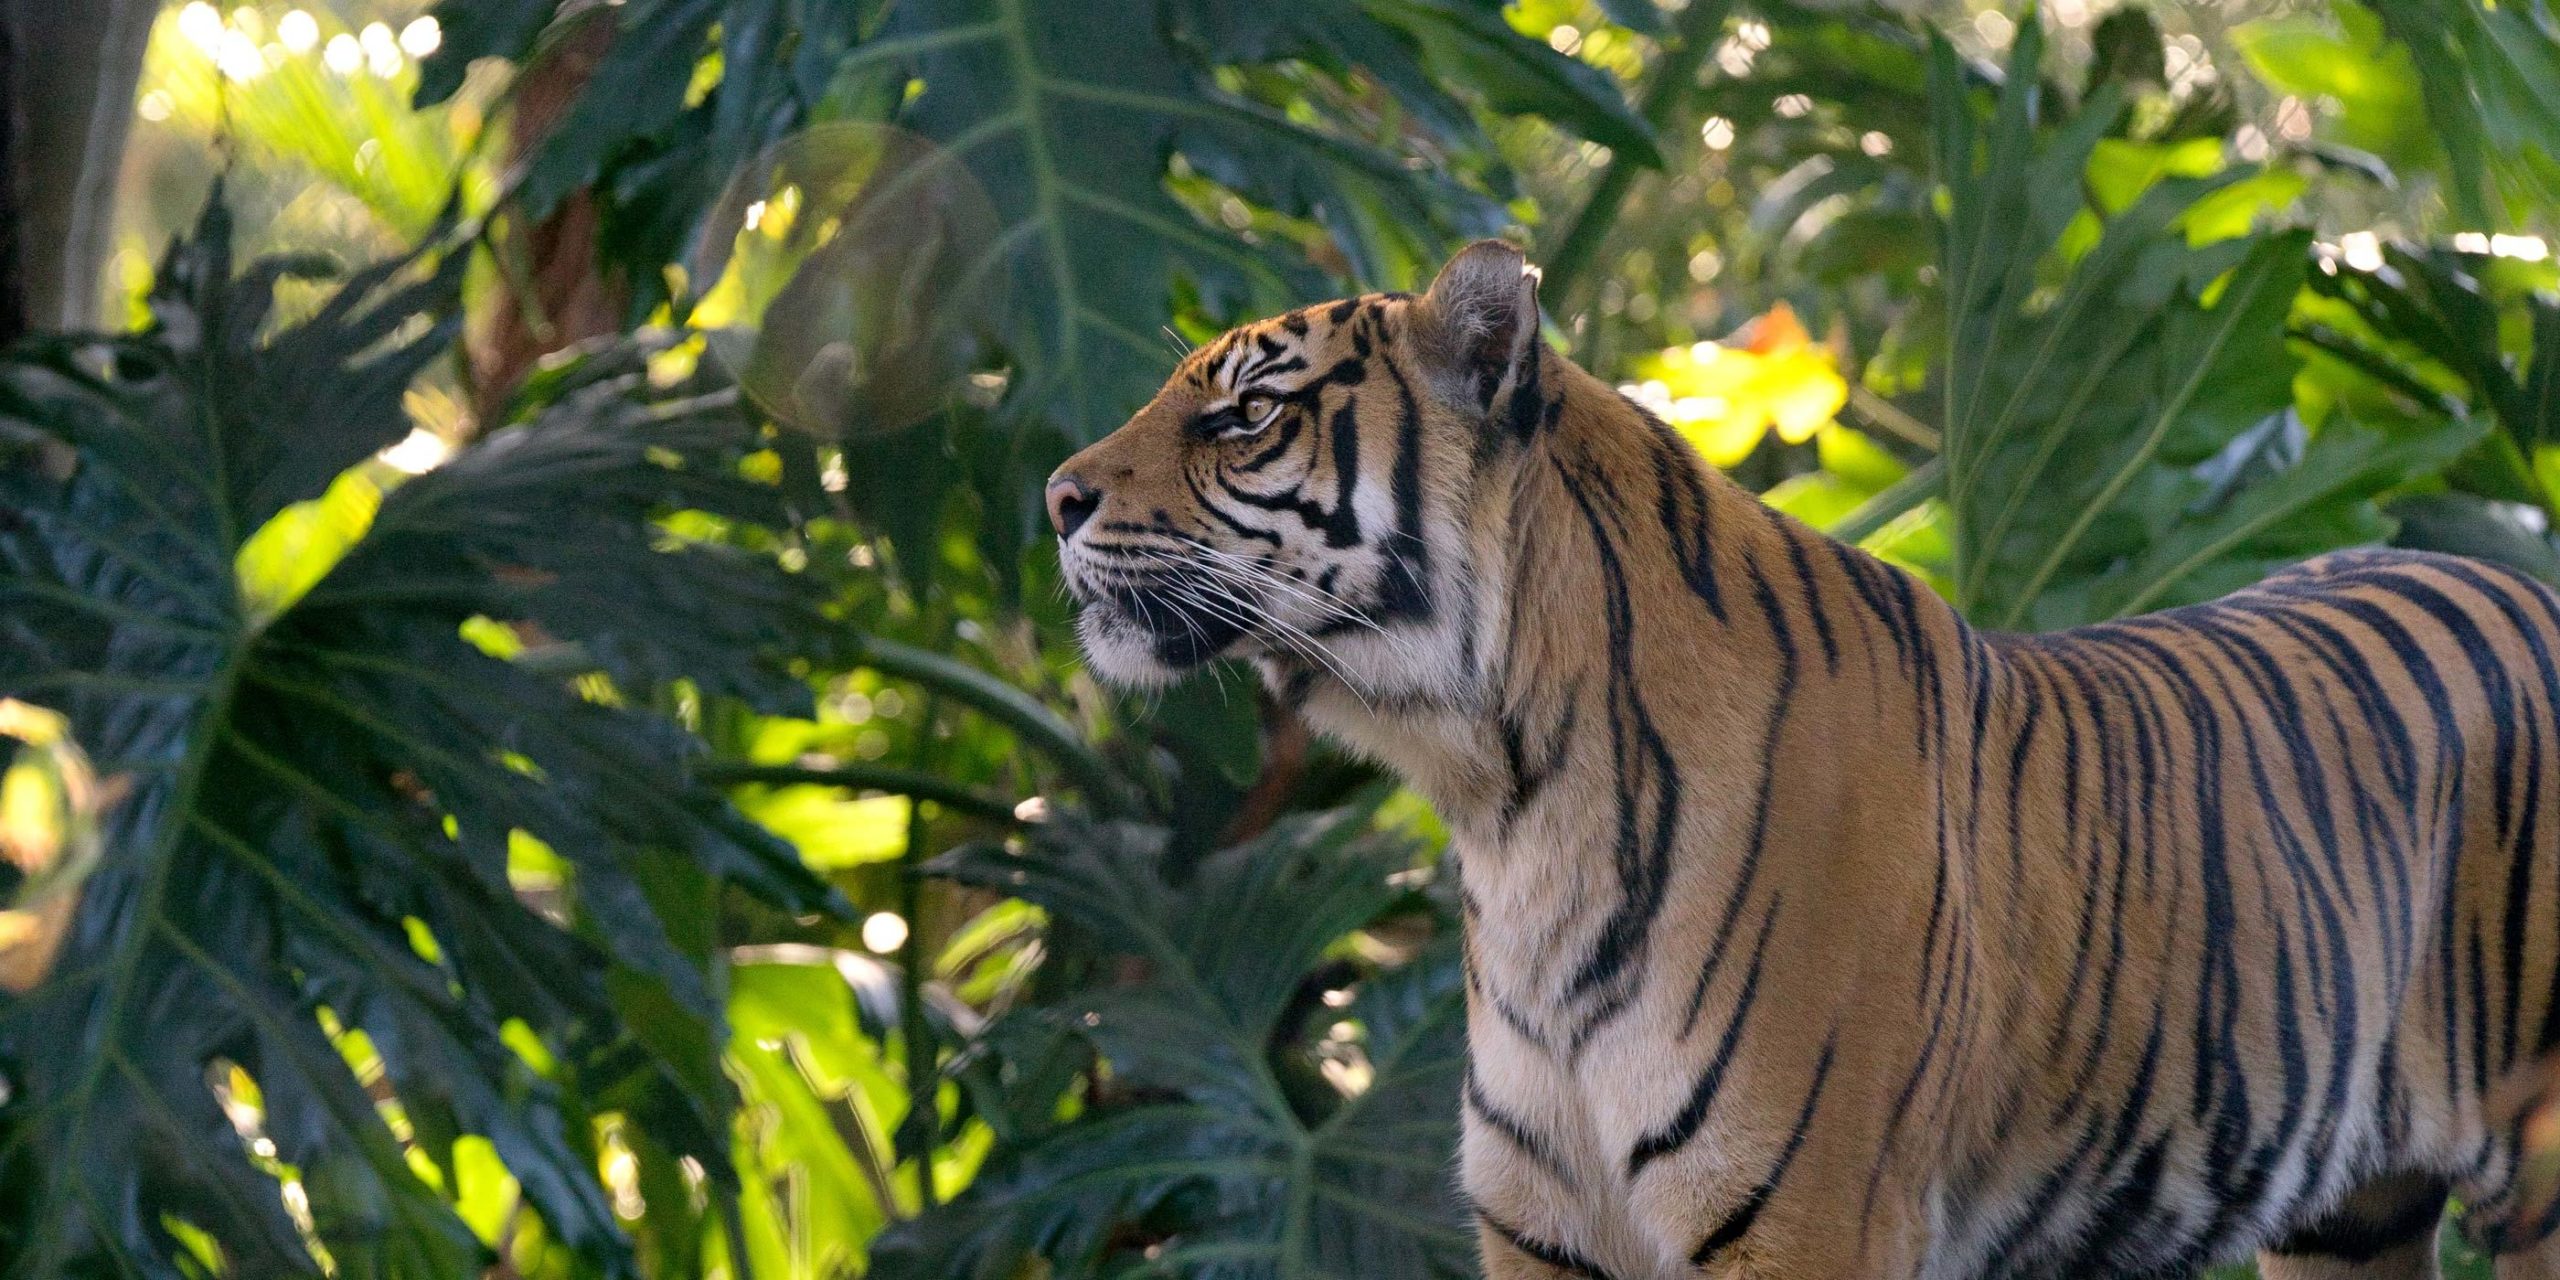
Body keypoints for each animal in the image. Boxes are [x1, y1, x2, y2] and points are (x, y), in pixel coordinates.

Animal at [1049, 241, 2560, 1280]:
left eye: (1245, 415)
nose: (1054, 495)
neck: (1503, 795)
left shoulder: (1809, 1218)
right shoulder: (1544, 1225)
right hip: (2345, 1216)